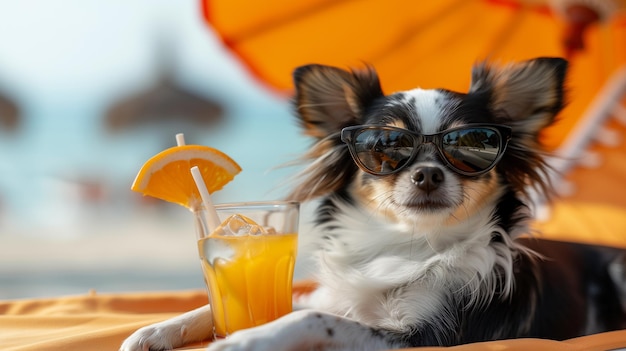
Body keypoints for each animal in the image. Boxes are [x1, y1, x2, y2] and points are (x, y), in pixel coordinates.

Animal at [120, 56, 624, 350]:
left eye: (471, 145)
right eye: (386, 146)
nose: (427, 174)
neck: (408, 244)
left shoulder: (429, 337)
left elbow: (311, 319)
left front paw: (244, 340)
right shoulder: (333, 295)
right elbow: (250, 304)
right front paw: (156, 329)